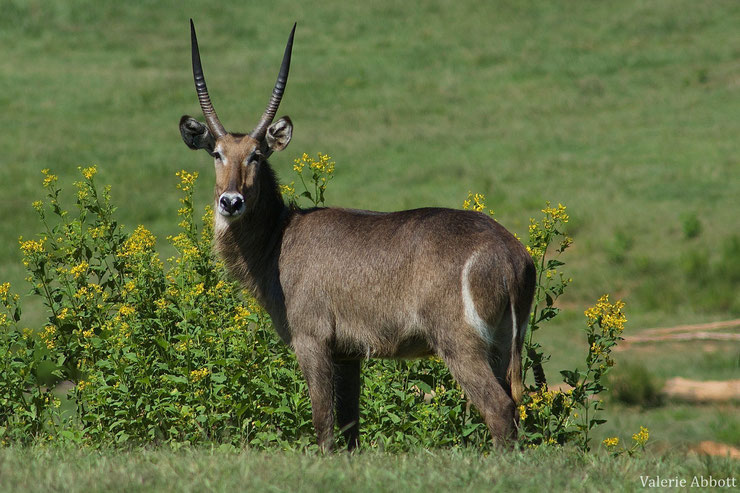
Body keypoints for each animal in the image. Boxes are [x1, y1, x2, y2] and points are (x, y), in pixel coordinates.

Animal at [179, 19, 536, 450]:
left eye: (257, 155)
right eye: (216, 153)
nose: (231, 201)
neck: (279, 238)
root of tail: (512, 254)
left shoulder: (312, 341)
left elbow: (324, 424)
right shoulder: (348, 355)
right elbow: (350, 430)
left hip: (460, 343)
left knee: (499, 409)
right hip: (503, 344)